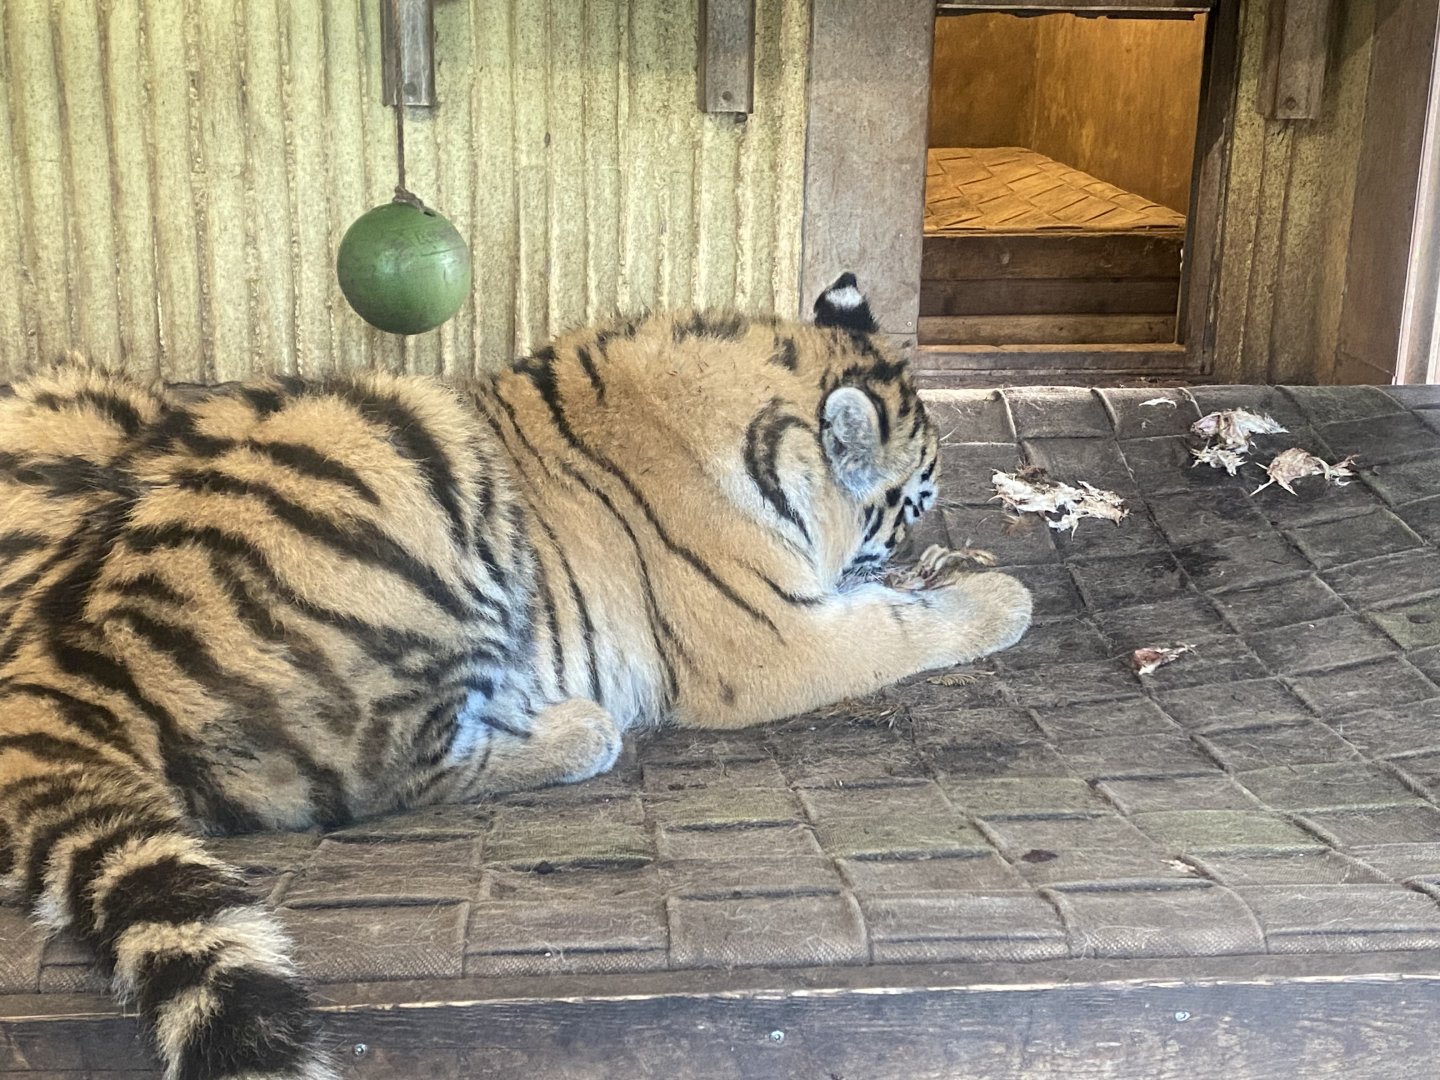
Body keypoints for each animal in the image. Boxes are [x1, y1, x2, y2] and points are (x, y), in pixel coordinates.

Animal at [0, 273, 1032, 1080]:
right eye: (915, 501)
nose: (920, 533)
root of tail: (58, 664)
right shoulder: (769, 643)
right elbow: (902, 629)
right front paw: (1002, 596)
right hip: (405, 450)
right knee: (390, 778)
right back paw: (577, 728)